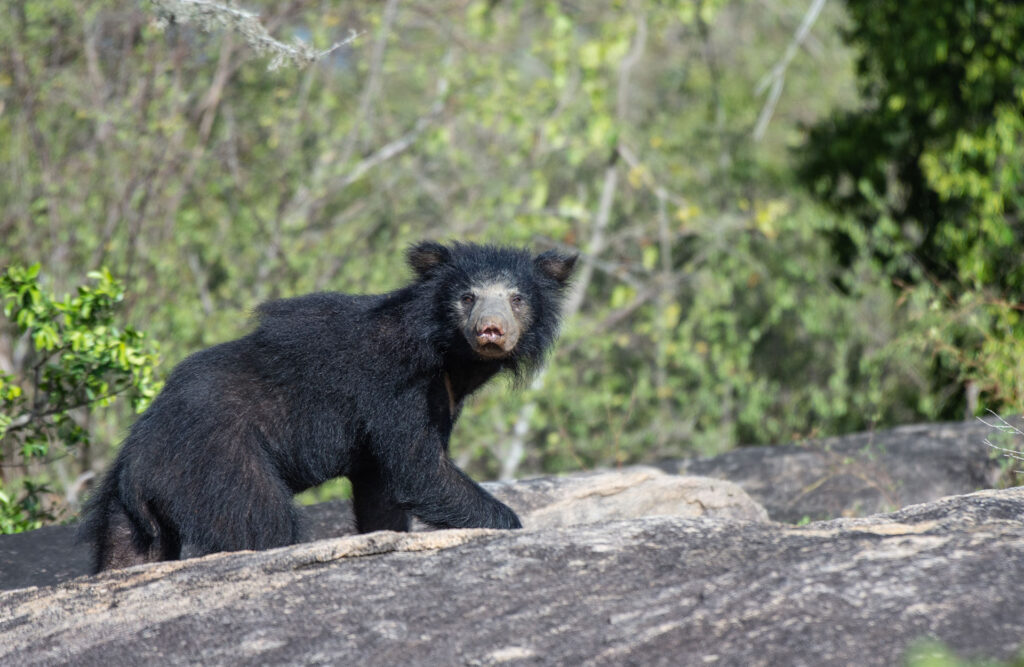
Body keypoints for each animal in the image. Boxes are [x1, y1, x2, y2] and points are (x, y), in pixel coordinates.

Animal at [79, 241, 577, 573]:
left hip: (127, 514)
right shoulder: (396, 389)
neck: (450, 355)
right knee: (260, 523)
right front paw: (510, 524)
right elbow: (420, 469)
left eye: (517, 298)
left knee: (126, 553)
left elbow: (382, 490)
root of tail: (136, 466)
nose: (491, 330)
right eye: (467, 297)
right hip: (219, 465)